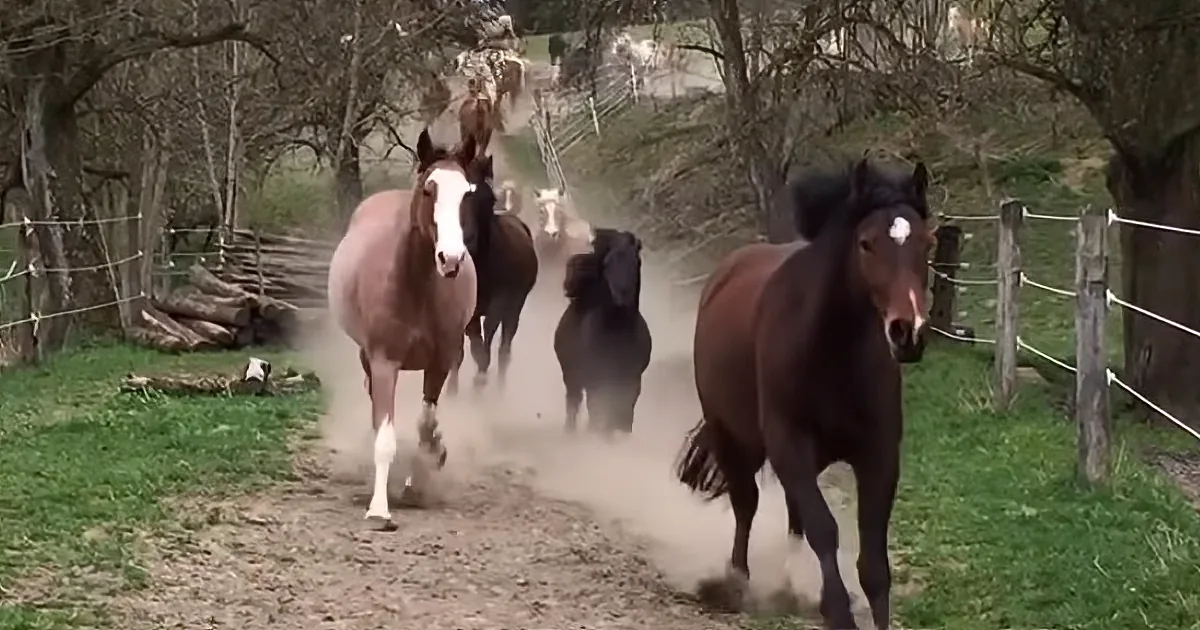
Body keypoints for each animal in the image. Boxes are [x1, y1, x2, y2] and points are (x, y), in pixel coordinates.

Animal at [326, 129, 481, 523]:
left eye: (467, 193)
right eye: (429, 189)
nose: (451, 259)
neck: (416, 287)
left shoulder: (441, 362)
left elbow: (425, 425)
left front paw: (422, 475)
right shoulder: (384, 361)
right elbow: (385, 436)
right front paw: (379, 509)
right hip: (367, 357)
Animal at [554, 228, 651, 434]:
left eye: (635, 261)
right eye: (607, 264)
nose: (622, 294)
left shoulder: (632, 383)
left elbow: (624, 417)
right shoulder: (596, 381)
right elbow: (598, 413)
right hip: (572, 377)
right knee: (574, 404)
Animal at [675, 158, 932, 629]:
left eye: (928, 241)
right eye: (866, 244)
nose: (909, 333)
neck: (831, 352)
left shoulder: (879, 452)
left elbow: (873, 557)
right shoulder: (788, 442)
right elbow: (824, 529)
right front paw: (837, 611)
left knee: (793, 515)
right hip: (731, 435)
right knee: (747, 504)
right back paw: (736, 581)